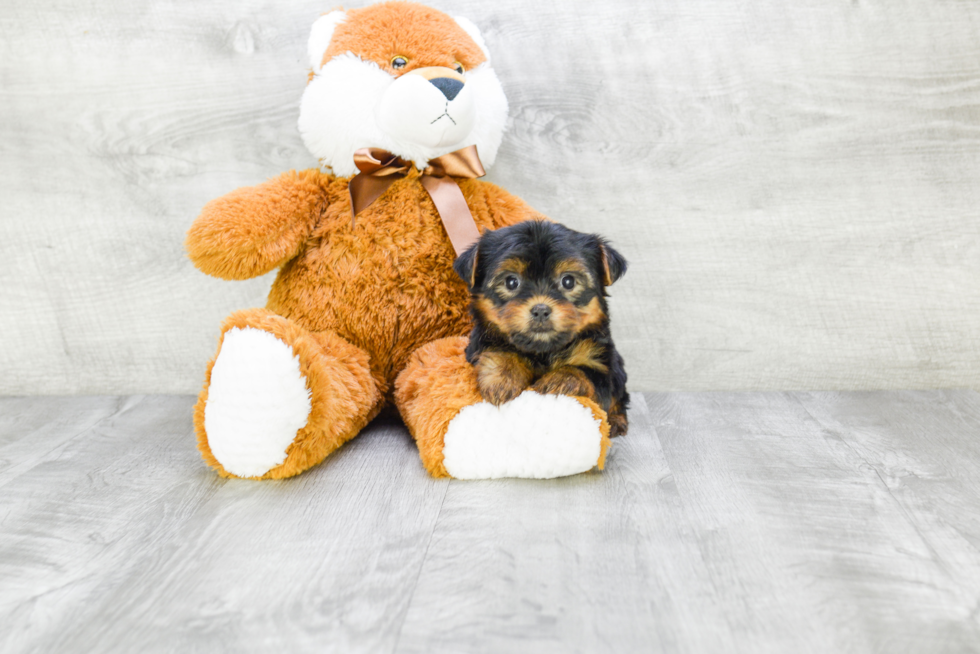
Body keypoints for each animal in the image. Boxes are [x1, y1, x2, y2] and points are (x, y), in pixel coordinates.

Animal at [456, 222, 632, 440]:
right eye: (511, 282)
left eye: (568, 281)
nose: (541, 309)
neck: (543, 350)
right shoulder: (481, 342)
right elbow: (499, 350)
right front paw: (503, 378)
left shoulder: (600, 362)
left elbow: (585, 372)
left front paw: (560, 379)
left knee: (620, 396)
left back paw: (616, 421)